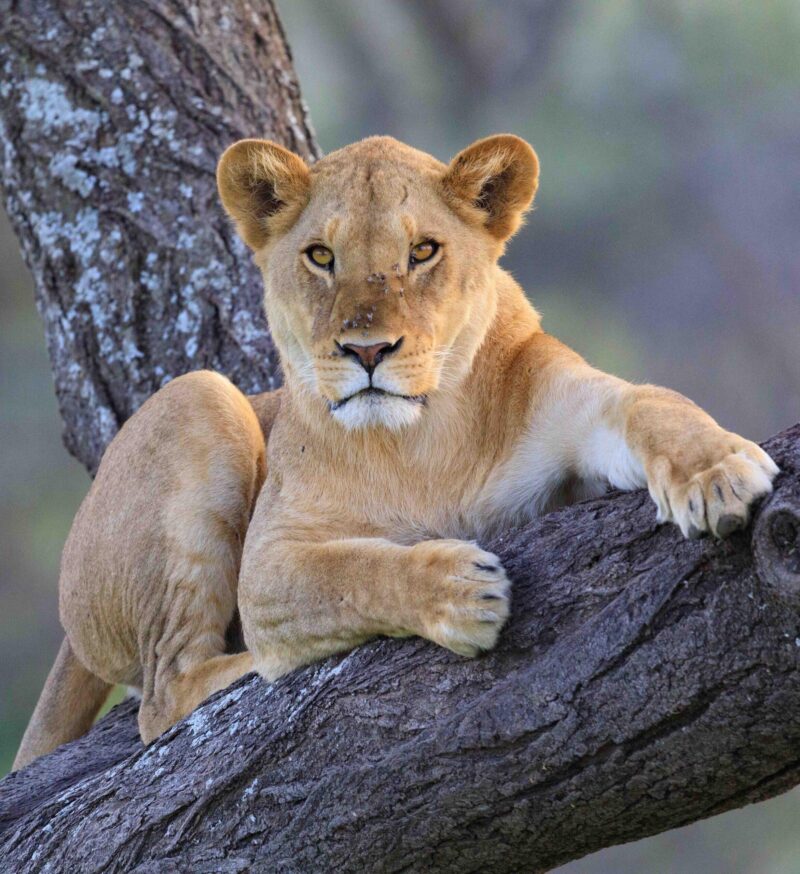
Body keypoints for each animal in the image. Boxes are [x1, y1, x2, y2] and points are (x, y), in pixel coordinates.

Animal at [14, 134, 778, 770]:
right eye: (322, 256)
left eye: (423, 252)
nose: (368, 350)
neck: (421, 439)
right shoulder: (269, 566)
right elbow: (354, 570)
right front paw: (458, 591)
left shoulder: (578, 407)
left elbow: (651, 404)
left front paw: (717, 476)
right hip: (199, 395)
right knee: (164, 693)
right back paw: (253, 666)